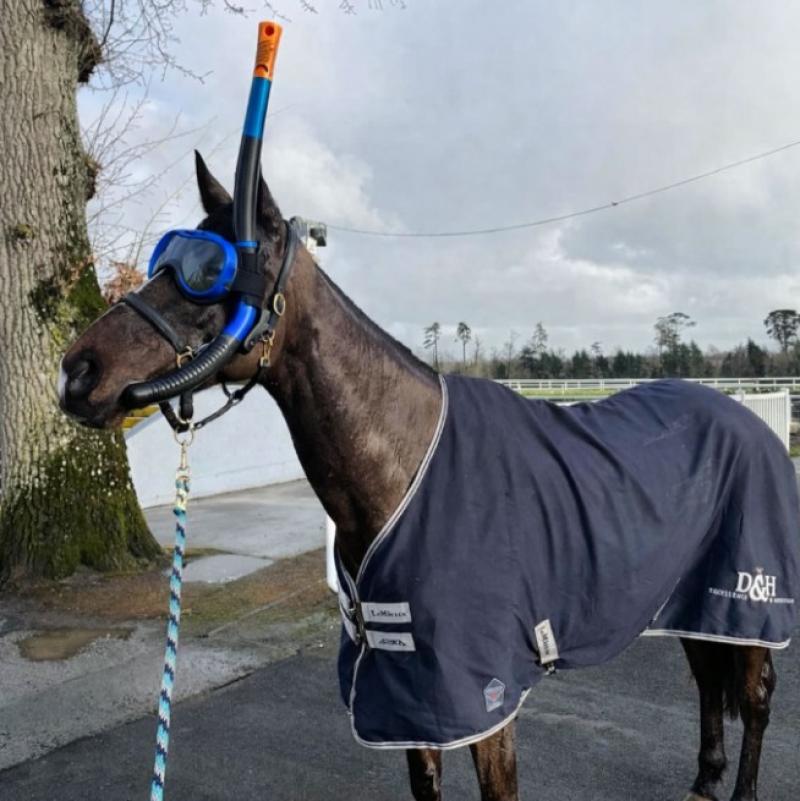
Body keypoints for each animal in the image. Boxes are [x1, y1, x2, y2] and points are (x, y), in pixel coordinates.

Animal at [59, 152, 798, 801]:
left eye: (207, 271)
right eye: (164, 262)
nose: (78, 371)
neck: (405, 467)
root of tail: (750, 419)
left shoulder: (485, 693)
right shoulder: (409, 687)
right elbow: (425, 783)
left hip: (746, 593)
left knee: (755, 695)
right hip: (688, 599)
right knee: (707, 678)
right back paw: (704, 777)